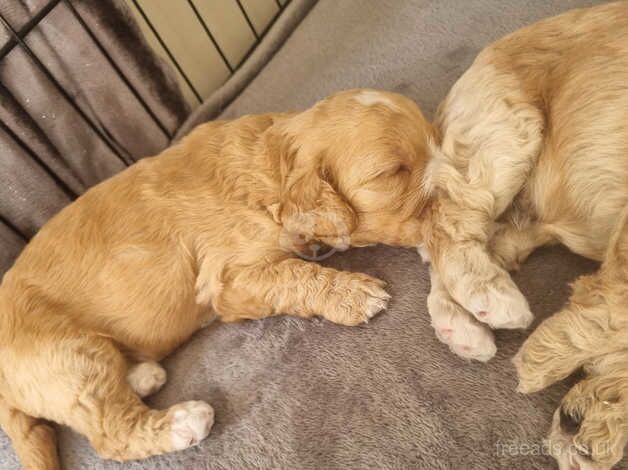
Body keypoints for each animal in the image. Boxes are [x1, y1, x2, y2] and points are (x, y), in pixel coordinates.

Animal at [0, 90, 432, 468]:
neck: (269, 165)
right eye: (392, 172)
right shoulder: (228, 281)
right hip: (69, 357)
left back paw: (142, 376)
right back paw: (183, 421)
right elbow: (293, 274)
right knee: (109, 433)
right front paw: (354, 294)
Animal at [408, 0, 628, 470]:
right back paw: (490, 298)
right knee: (447, 220)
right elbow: (615, 308)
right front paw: (541, 360)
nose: (576, 434)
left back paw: (463, 326)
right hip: (504, 131)